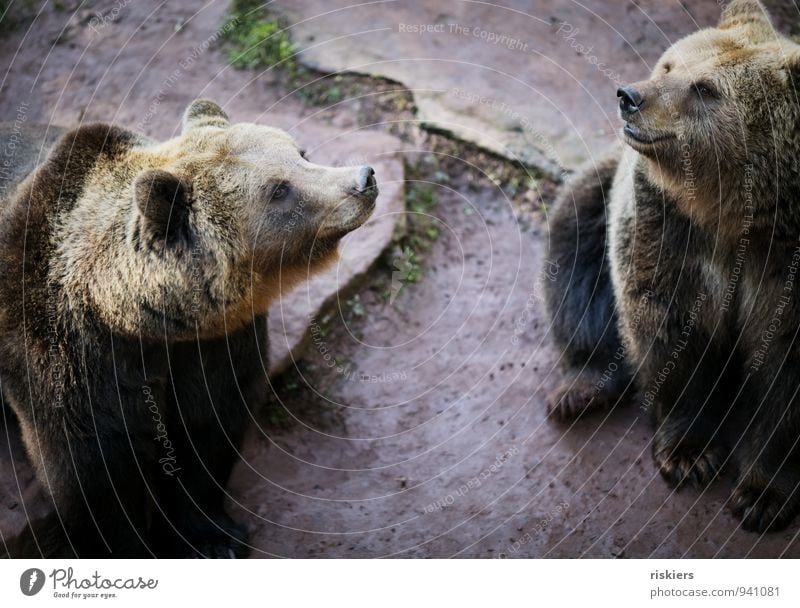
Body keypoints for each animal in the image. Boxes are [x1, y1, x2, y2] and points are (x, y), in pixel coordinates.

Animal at [0, 98, 380, 556]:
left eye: (300, 153)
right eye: (279, 190)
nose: (363, 178)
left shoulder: (216, 341)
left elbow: (207, 424)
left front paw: (213, 537)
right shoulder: (65, 353)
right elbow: (93, 468)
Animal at [544, 0, 800, 532]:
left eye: (705, 89)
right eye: (669, 65)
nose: (629, 96)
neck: (735, 214)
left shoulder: (786, 260)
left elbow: (786, 366)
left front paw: (763, 496)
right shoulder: (667, 225)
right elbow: (669, 324)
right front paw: (689, 454)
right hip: (598, 199)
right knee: (572, 251)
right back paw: (581, 388)